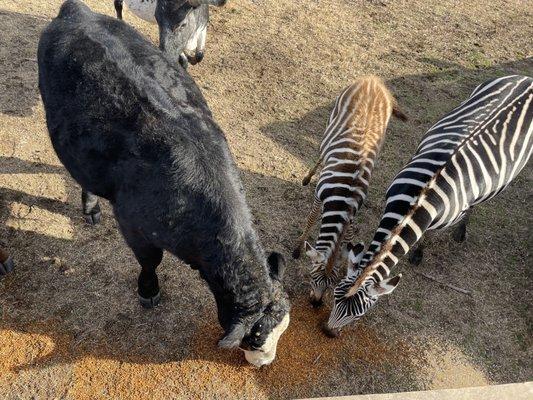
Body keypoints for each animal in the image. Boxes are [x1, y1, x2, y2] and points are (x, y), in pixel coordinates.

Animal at [37, 0, 288, 366]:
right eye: (255, 338)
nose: (267, 362)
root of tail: (77, 11)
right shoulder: (133, 224)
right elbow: (149, 261)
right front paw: (148, 290)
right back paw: (91, 208)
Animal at [290, 75, 404, 306]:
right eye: (313, 277)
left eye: (333, 283)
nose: (316, 304)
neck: (345, 197)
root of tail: (374, 80)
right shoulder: (319, 196)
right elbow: (311, 219)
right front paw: (297, 248)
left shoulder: (352, 211)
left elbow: (349, 235)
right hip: (332, 121)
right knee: (322, 152)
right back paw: (308, 176)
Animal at [322, 76, 528, 338]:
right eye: (335, 295)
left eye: (359, 314)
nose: (327, 332)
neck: (417, 201)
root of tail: (525, 80)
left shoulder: (436, 220)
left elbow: (425, 236)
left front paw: (418, 254)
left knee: (477, 203)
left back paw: (461, 232)